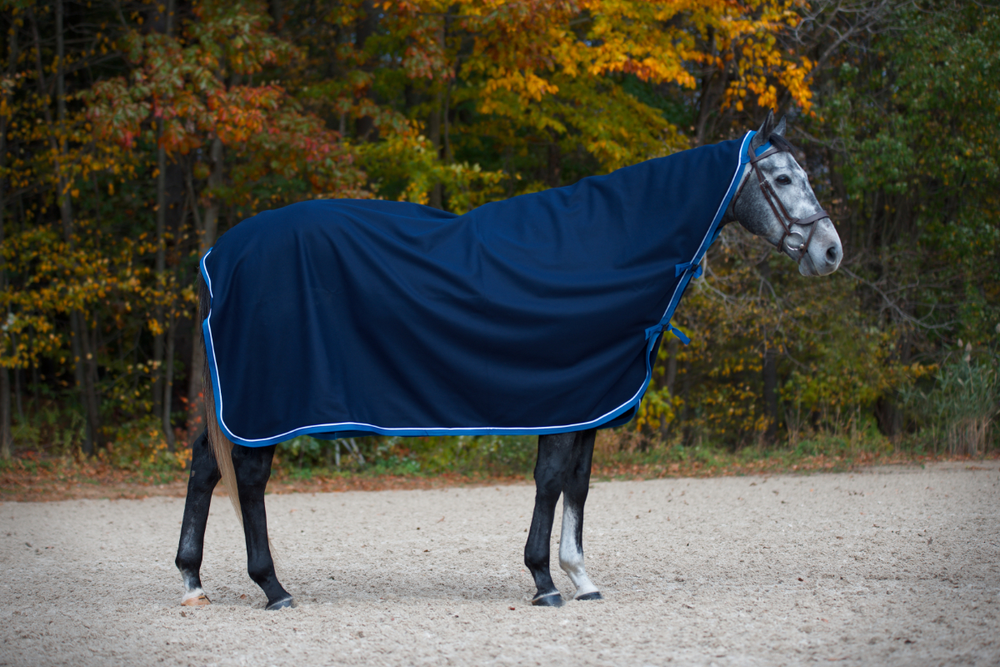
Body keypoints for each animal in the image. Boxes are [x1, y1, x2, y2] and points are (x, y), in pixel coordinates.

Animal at [175, 111, 842, 610]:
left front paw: (581, 577)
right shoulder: (564, 396)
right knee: (249, 480)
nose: (831, 251)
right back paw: (272, 586)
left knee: (205, 466)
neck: (607, 247)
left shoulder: (591, 399)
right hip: (265, 403)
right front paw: (544, 580)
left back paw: (192, 580)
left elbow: (578, 485)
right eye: (784, 179)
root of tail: (219, 254)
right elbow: (550, 481)